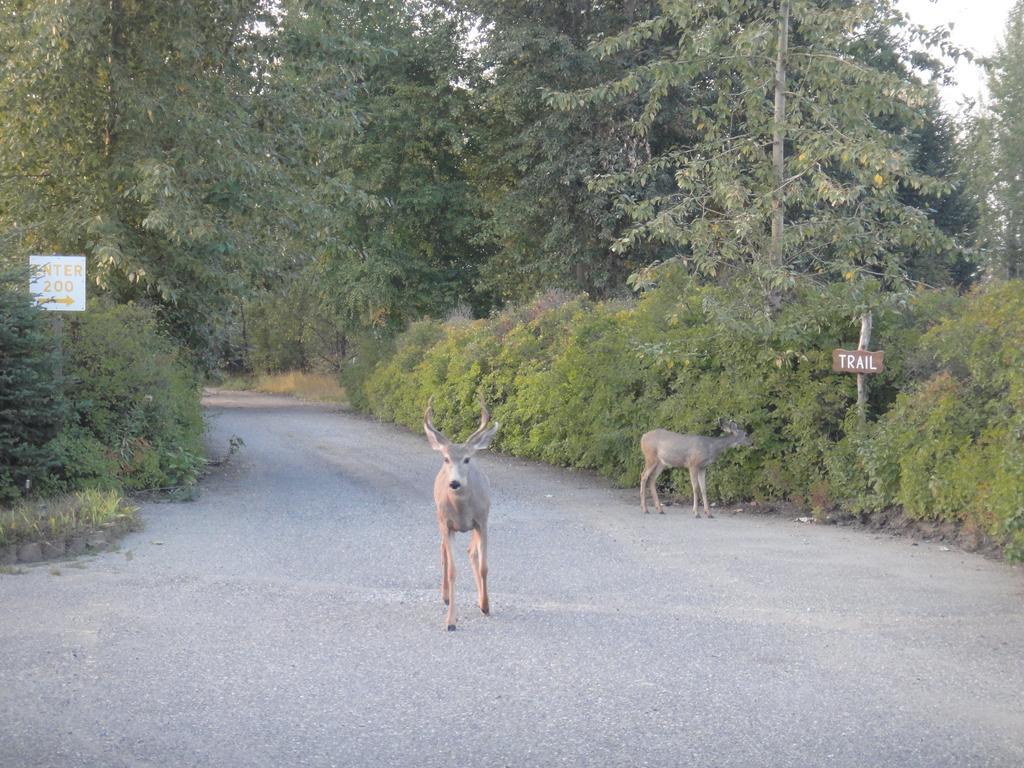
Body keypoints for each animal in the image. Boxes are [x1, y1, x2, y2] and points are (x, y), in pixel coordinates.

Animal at [423, 397, 499, 630]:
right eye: (446, 459)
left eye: (467, 459)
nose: (454, 483)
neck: (462, 510)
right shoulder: (447, 524)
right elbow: (452, 571)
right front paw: (451, 621)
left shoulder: (482, 520)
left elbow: (484, 566)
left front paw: (486, 605)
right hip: (439, 519)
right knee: (444, 554)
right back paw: (446, 596)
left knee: (471, 551)